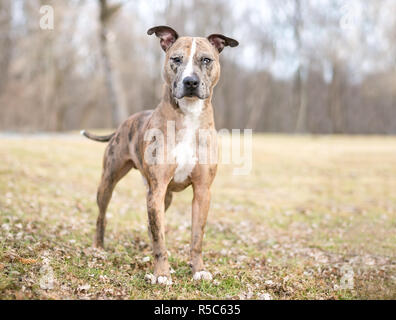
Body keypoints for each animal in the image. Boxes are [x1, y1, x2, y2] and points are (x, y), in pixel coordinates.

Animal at [82, 25, 238, 284]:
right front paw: (162, 274)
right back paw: (98, 248)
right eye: (176, 59)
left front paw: (198, 269)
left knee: (151, 226)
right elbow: (159, 237)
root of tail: (125, 122)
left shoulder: (202, 192)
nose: (190, 81)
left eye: (206, 60)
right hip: (109, 182)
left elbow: (196, 237)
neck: (189, 116)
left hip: (165, 197)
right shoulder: (156, 189)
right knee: (102, 215)